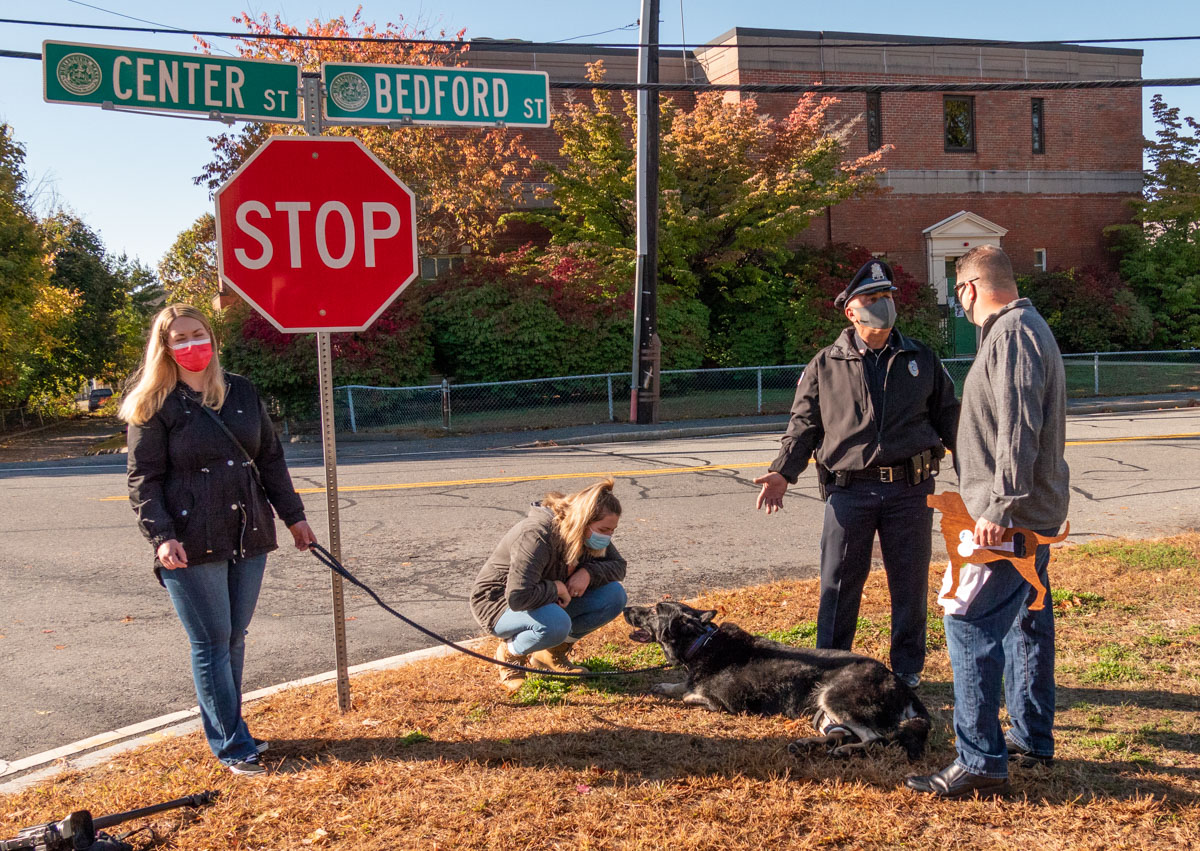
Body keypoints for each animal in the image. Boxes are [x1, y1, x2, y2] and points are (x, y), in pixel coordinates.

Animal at [624, 597, 931, 758]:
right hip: (822, 713)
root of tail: (903, 687)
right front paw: (663, 685)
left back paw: (845, 750)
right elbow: (679, 685)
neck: (701, 642)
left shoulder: (719, 703)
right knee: (841, 734)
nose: (626, 608)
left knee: (876, 739)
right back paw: (808, 744)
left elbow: (688, 694)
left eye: (654, 609)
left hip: (833, 697)